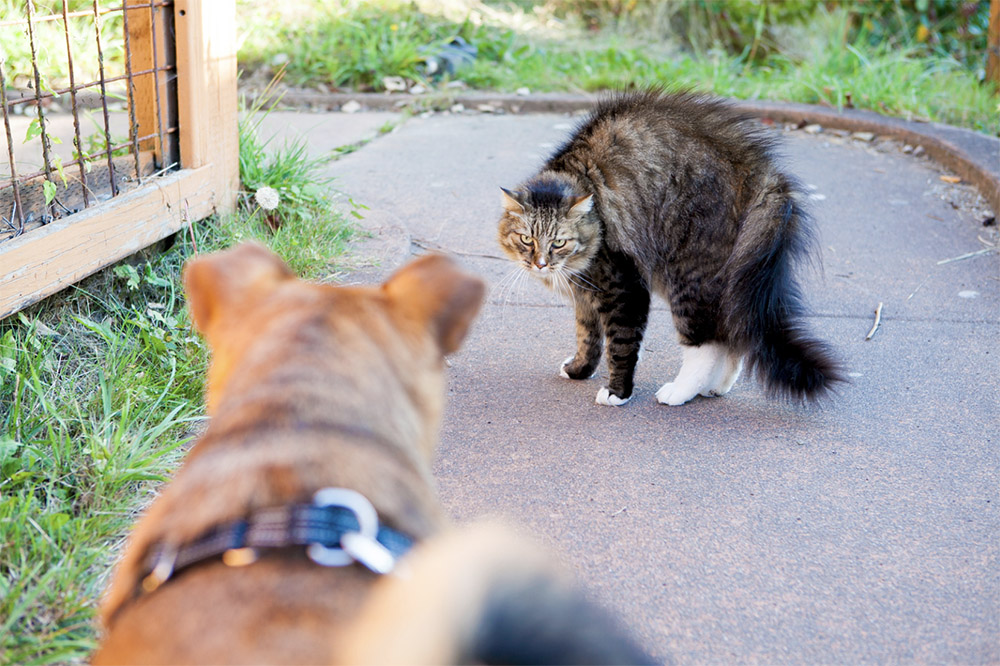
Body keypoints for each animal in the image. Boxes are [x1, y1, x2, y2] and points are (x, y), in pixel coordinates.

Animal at [496, 88, 840, 404]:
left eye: (558, 242)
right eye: (526, 239)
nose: (540, 263)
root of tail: (766, 175)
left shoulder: (625, 288)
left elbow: (620, 346)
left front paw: (617, 393)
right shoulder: (585, 298)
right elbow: (587, 338)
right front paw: (579, 369)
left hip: (688, 274)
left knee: (706, 345)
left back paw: (680, 392)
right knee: (731, 336)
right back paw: (715, 387)